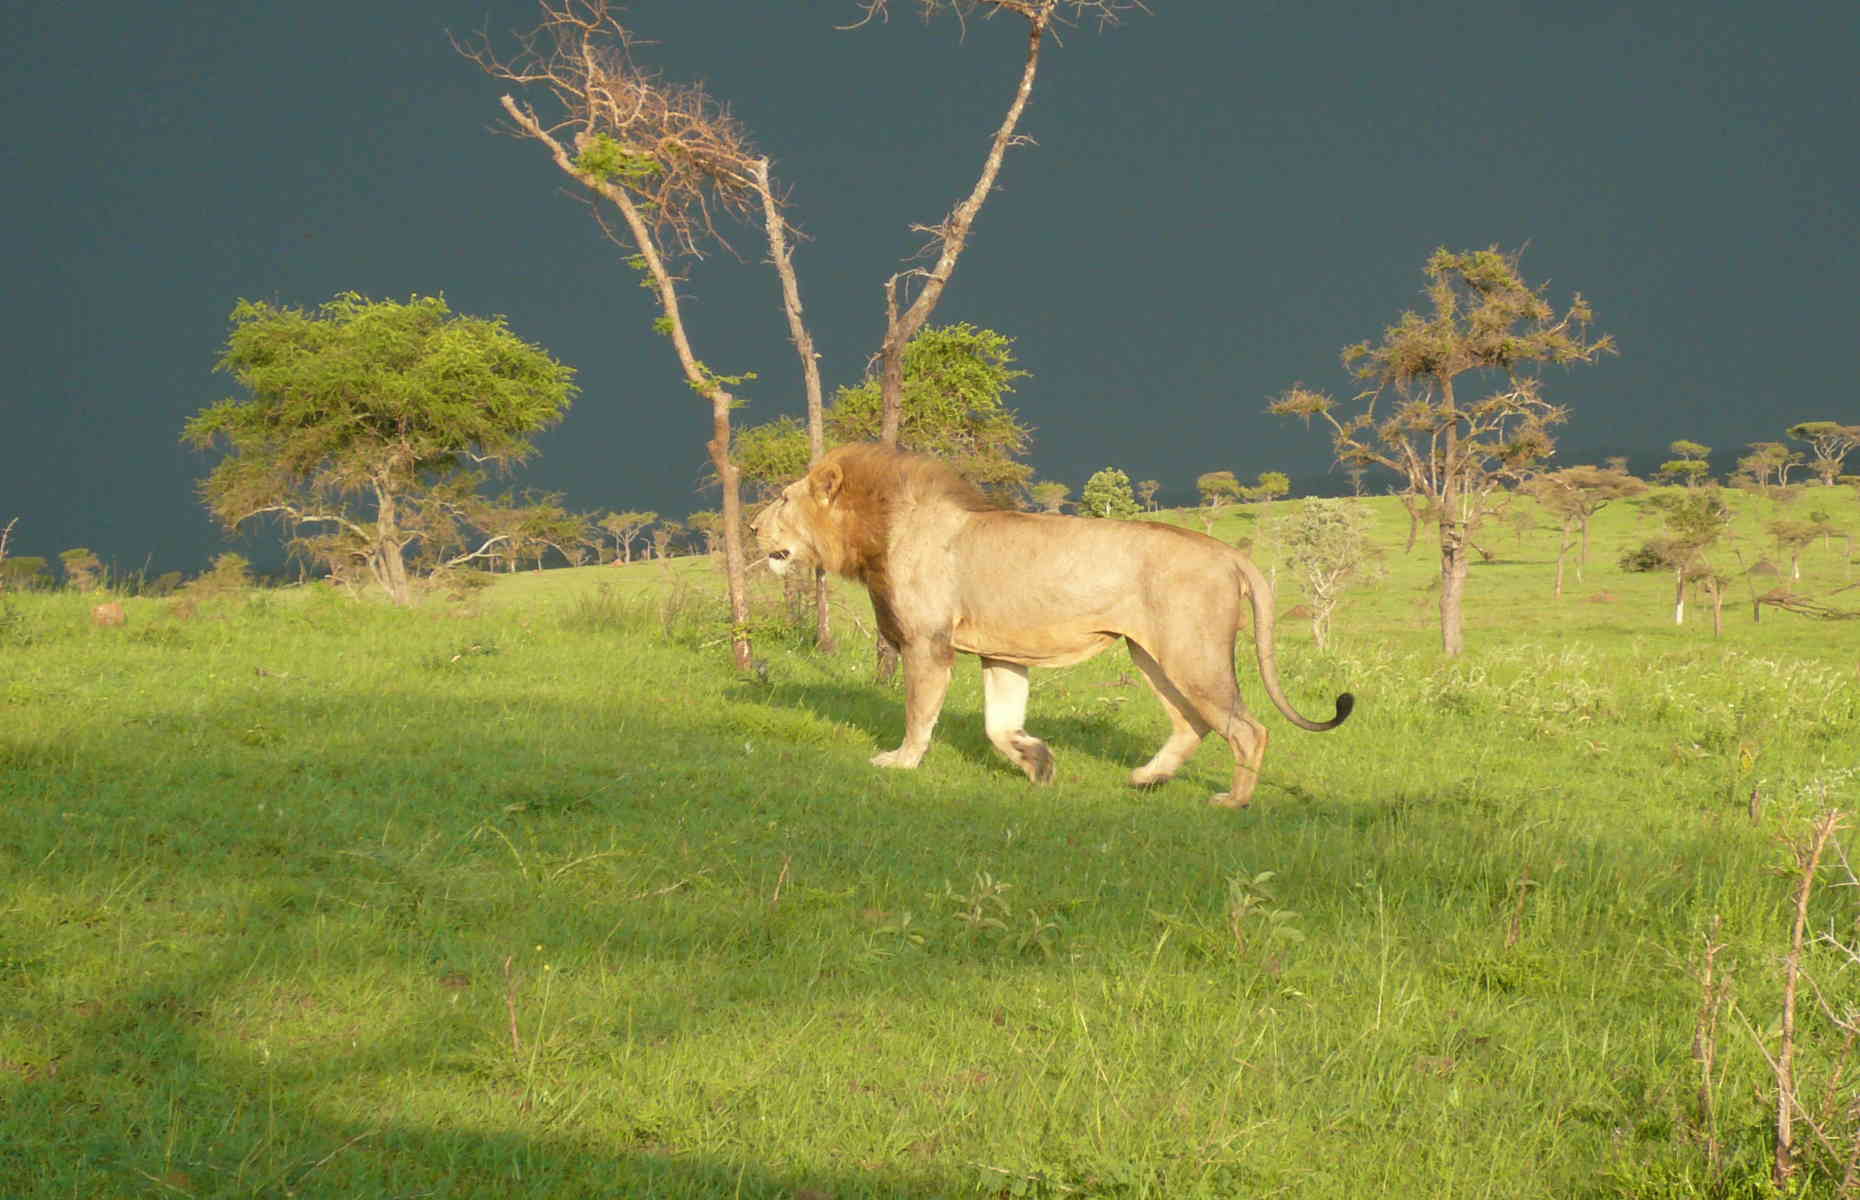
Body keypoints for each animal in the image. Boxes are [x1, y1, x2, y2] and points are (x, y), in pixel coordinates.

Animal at [751, 444, 1354, 811]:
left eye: (782, 498)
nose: (753, 526)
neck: (879, 526)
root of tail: (1228, 552)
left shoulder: (928, 642)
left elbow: (919, 714)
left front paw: (901, 762)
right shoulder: (1000, 653)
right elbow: (999, 724)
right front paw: (1038, 763)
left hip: (1191, 652)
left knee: (1248, 729)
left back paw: (1233, 801)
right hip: (1151, 654)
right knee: (1192, 724)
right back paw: (1146, 778)